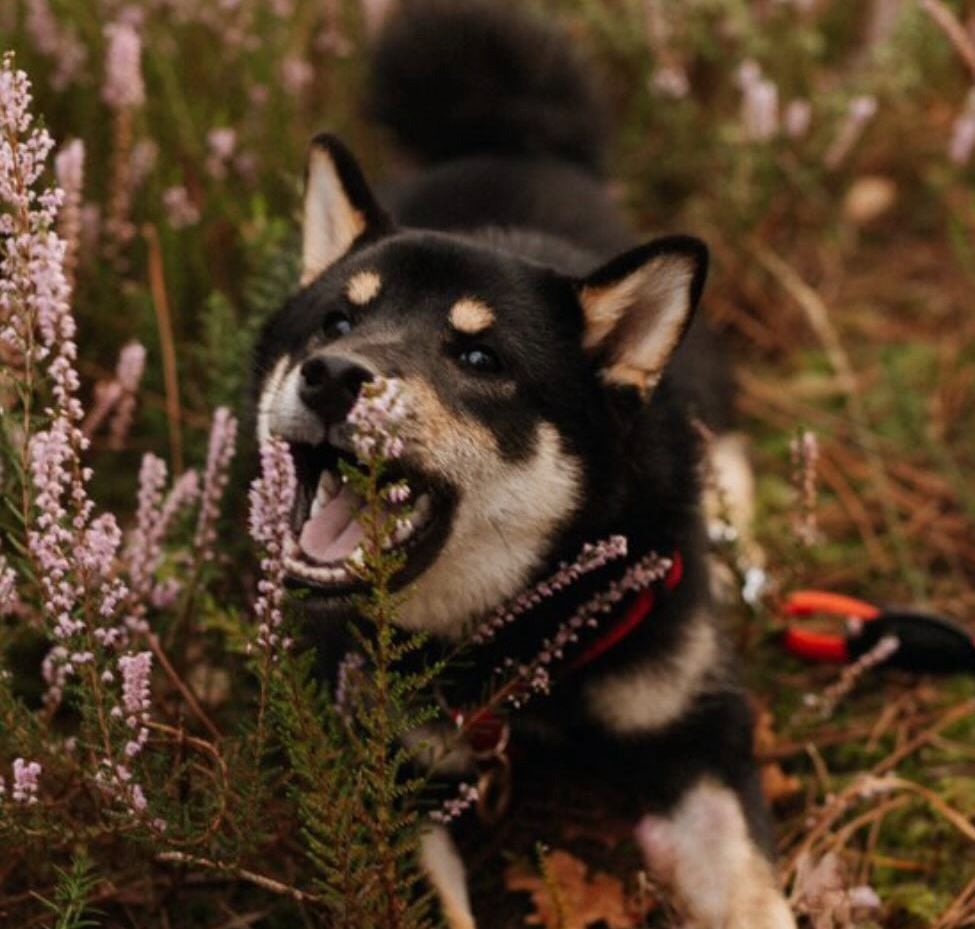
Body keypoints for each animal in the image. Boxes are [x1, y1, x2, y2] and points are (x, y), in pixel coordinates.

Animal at [255, 3, 796, 924]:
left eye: (480, 358)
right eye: (335, 322)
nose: (329, 375)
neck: (512, 645)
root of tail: (509, 138)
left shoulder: (698, 732)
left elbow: (750, 892)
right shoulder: (385, 775)